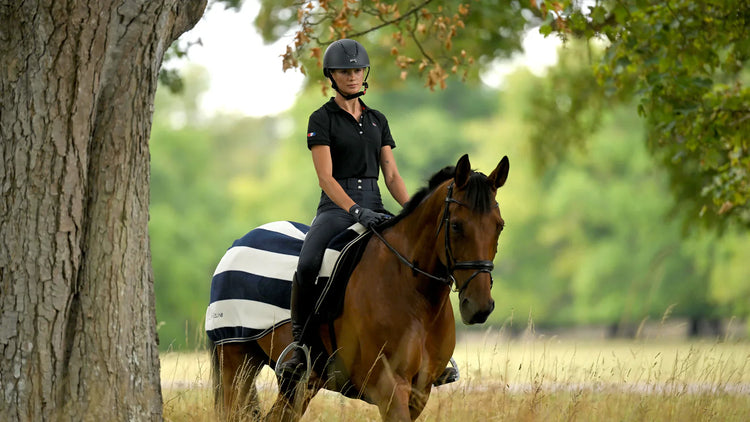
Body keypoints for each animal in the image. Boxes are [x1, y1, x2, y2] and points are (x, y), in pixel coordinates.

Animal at [207, 154, 509, 421]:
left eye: (499, 226)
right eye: (456, 226)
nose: (479, 307)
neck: (415, 295)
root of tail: (239, 244)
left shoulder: (419, 392)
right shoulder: (388, 386)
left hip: (300, 384)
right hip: (235, 360)